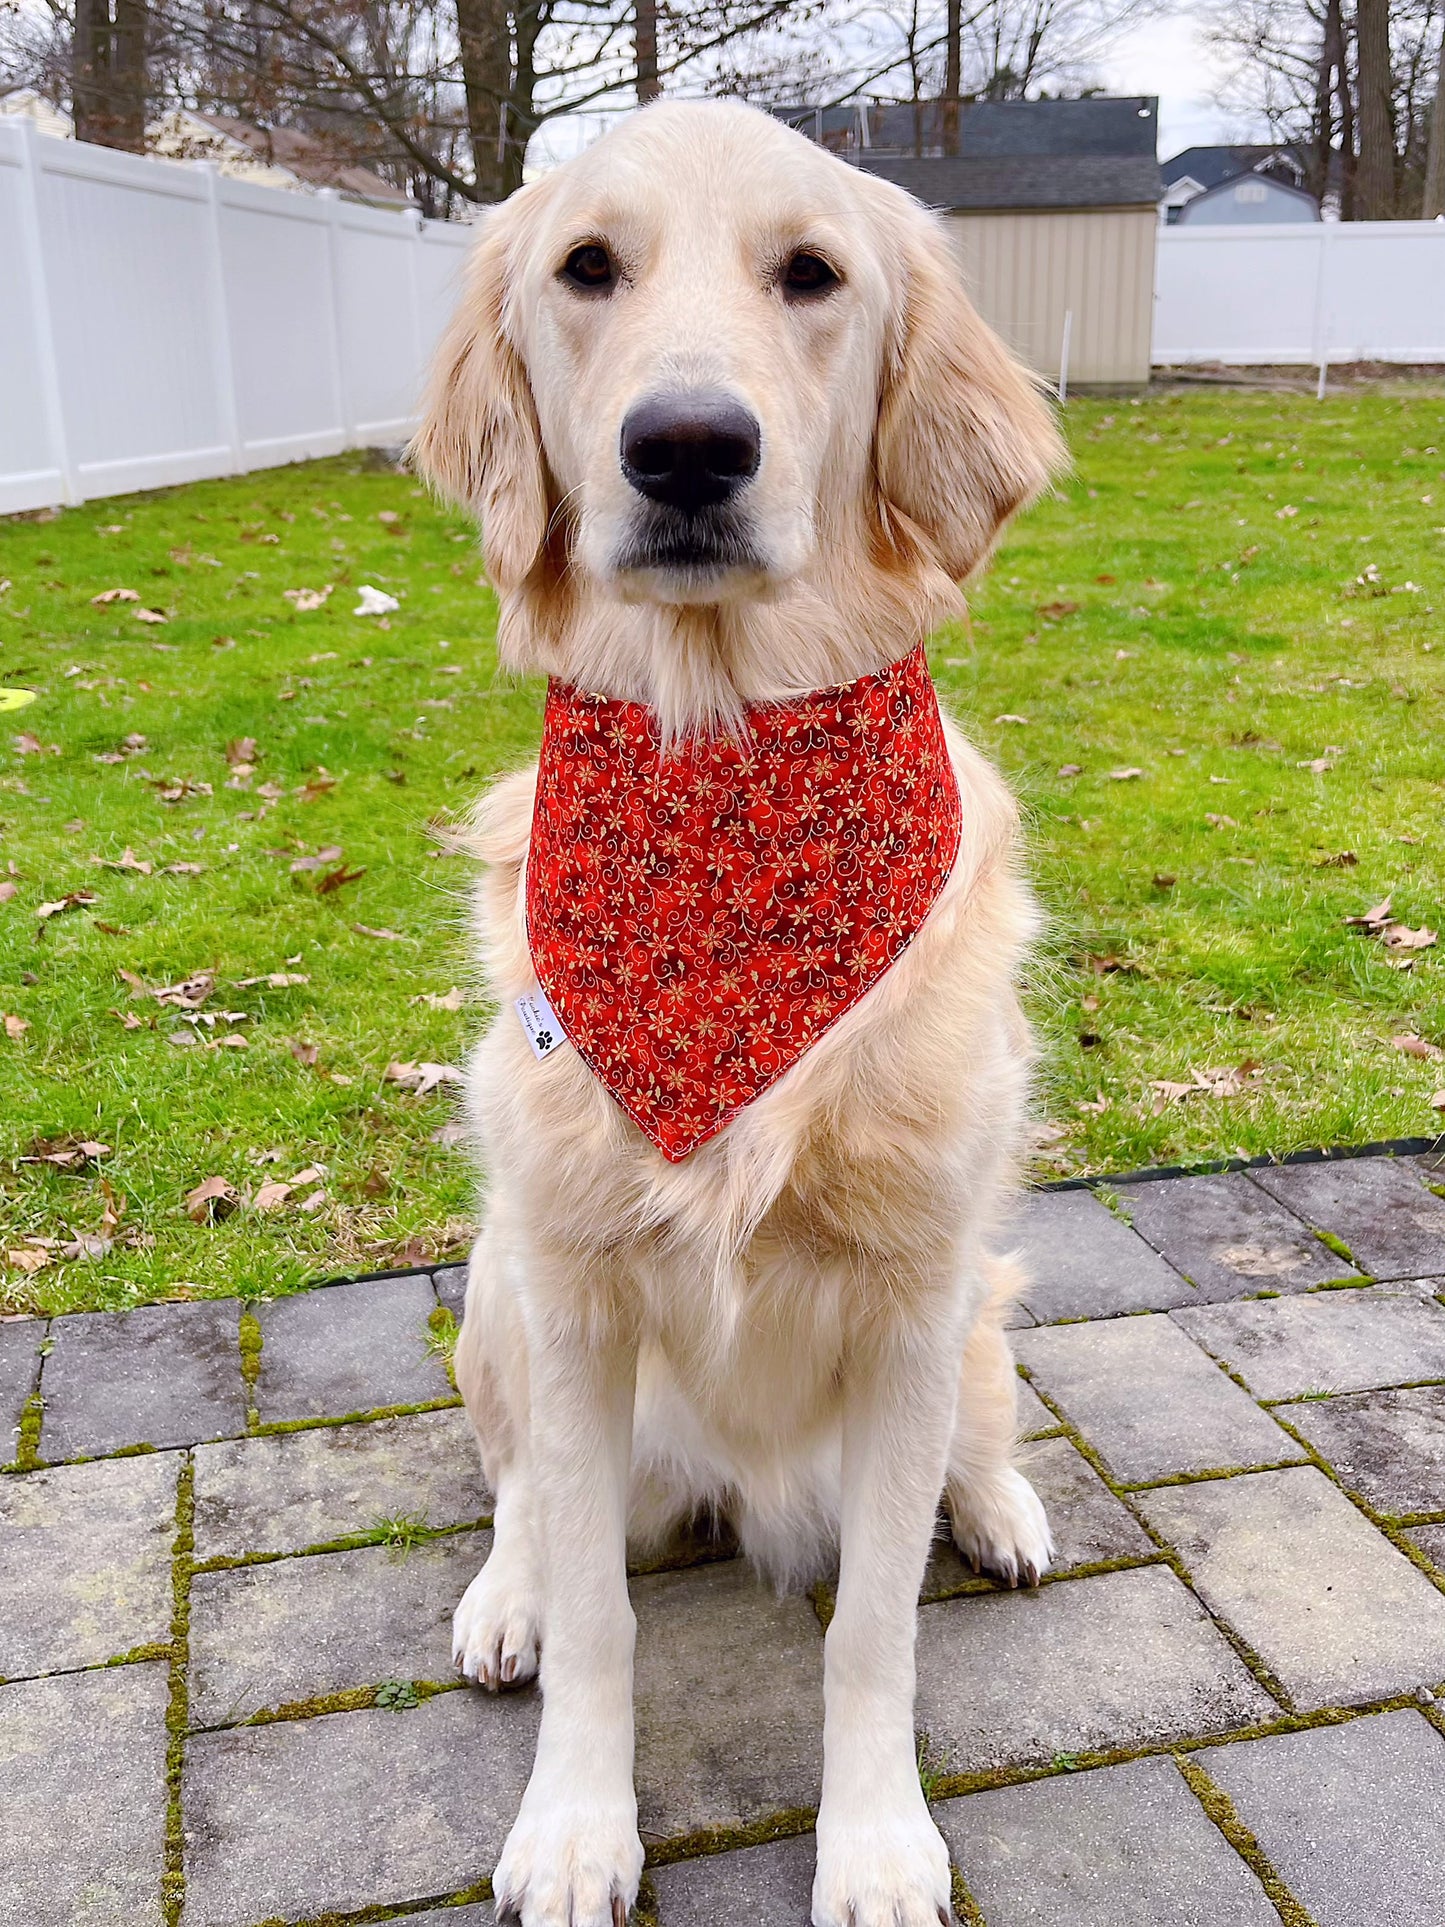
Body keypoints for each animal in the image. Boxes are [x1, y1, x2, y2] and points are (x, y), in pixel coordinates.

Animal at [412, 101, 1071, 1927]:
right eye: (586, 267)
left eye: (812, 274)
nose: (689, 448)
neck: (720, 776)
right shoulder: (572, 1295)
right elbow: (600, 1619)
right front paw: (575, 1822)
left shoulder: (913, 1300)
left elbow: (872, 1632)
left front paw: (877, 1842)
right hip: (499, 1282)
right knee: (521, 1496)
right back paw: (504, 1596)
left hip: (978, 1311)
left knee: (974, 1442)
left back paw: (1000, 1505)